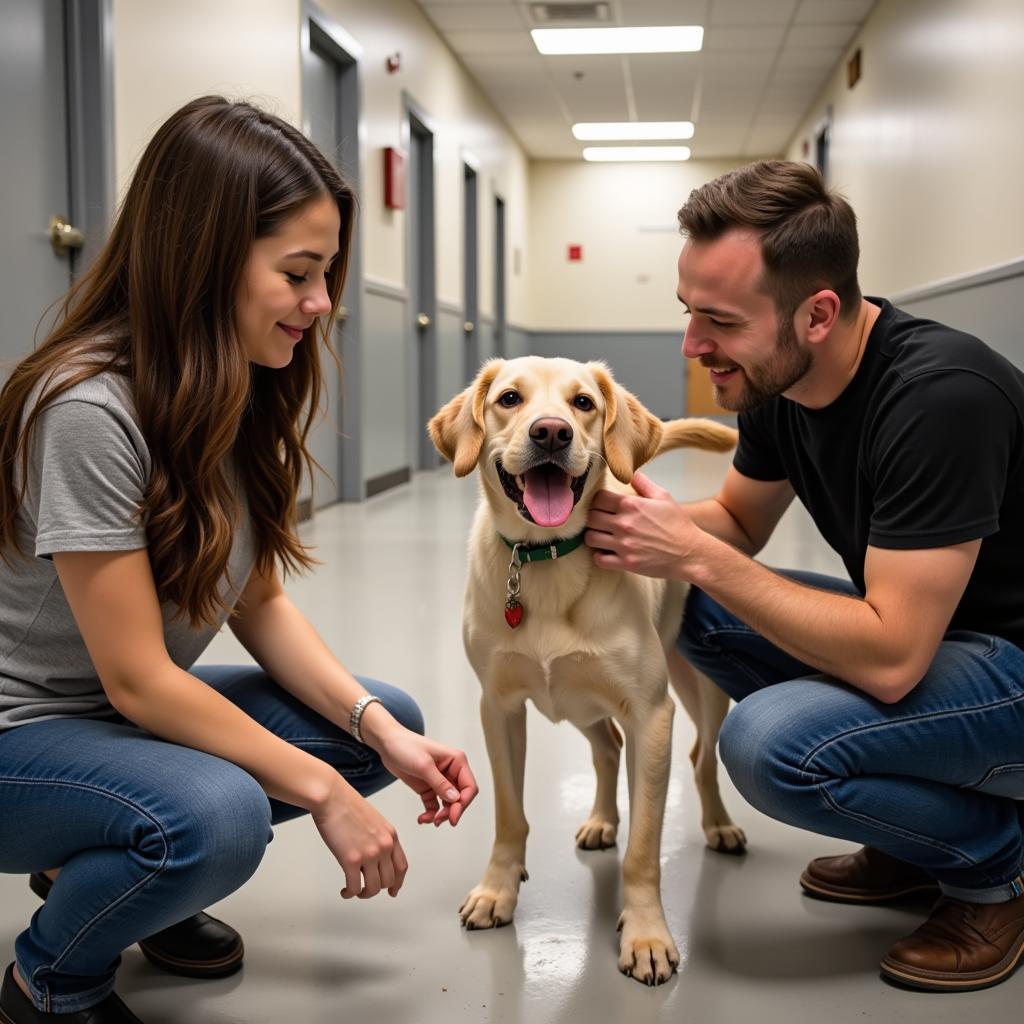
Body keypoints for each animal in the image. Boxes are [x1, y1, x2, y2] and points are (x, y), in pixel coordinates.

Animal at [430, 358, 745, 983]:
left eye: (583, 403)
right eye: (509, 398)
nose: (551, 433)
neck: (545, 559)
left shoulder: (652, 714)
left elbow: (644, 847)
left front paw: (646, 934)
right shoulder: (498, 707)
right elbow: (509, 814)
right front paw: (497, 891)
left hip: (699, 690)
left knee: (700, 757)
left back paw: (718, 824)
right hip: (575, 700)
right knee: (606, 748)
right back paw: (601, 820)